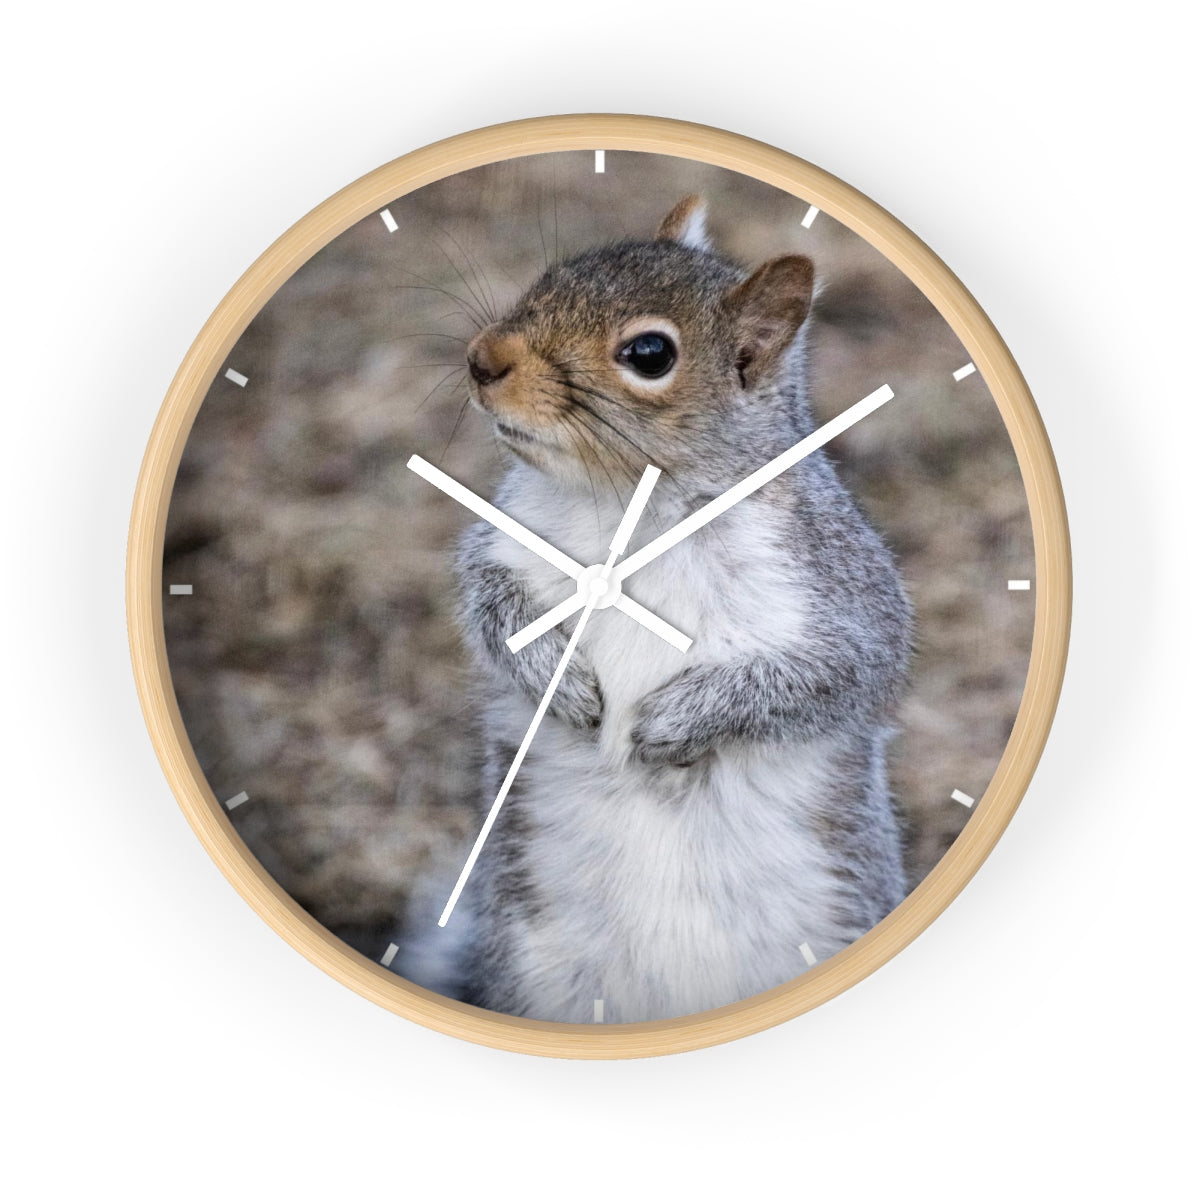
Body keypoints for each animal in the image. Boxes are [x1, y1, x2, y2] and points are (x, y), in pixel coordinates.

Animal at [450, 196, 913, 1024]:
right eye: (552, 276)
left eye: (649, 354)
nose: (482, 358)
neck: (634, 503)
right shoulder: (505, 541)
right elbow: (487, 602)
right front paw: (556, 678)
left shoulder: (839, 587)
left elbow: (835, 675)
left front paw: (677, 721)